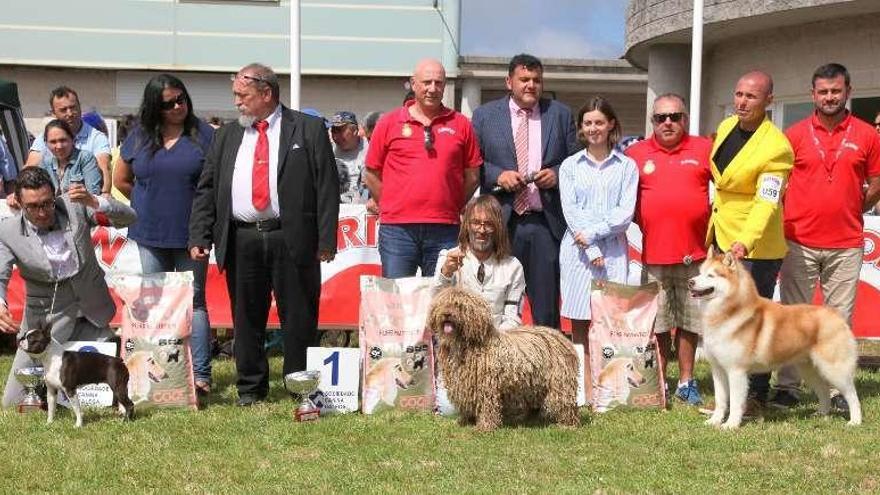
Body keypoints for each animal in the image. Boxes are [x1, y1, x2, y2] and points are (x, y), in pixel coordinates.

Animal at [428, 288, 580, 432]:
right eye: (443, 304)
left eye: (459, 305)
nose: (447, 314)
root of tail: (563, 339)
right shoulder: (465, 384)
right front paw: (464, 421)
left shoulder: (486, 386)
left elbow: (487, 405)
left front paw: (485, 426)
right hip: (535, 382)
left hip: (560, 381)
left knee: (565, 403)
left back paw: (567, 424)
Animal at [688, 250, 860, 428]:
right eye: (700, 272)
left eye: (711, 275)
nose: (690, 282)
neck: (729, 312)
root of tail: (835, 315)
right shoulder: (718, 369)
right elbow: (720, 400)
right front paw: (714, 421)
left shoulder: (736, 371)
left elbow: (735, 402)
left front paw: (731, 425)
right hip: (809, 370)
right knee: (824, 391)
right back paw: (821, 415)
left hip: (834, 369)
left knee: (852, 394)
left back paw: (855, 421)